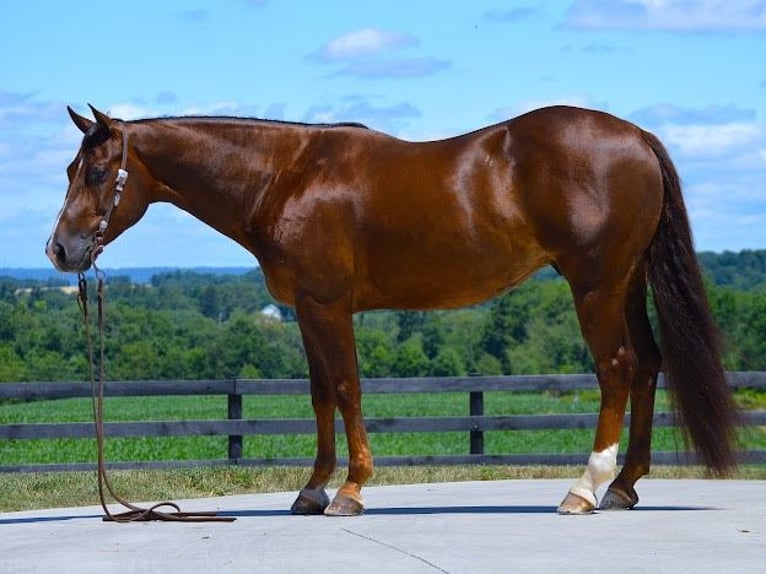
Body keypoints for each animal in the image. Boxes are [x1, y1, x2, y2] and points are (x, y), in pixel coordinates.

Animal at [45, 104, 740, 516]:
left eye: (99, 171)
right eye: (70, 166)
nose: (60, 249)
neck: (286, 176)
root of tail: (637, 136)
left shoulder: (329, 306)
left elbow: (347, 388)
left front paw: (350, 491)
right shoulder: (307, 310)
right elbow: (320, 394)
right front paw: (312, 489)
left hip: (595, 285)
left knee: (616, 368)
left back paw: (585, 488)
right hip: (627, 282)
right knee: (647, 364)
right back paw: (624, 487)